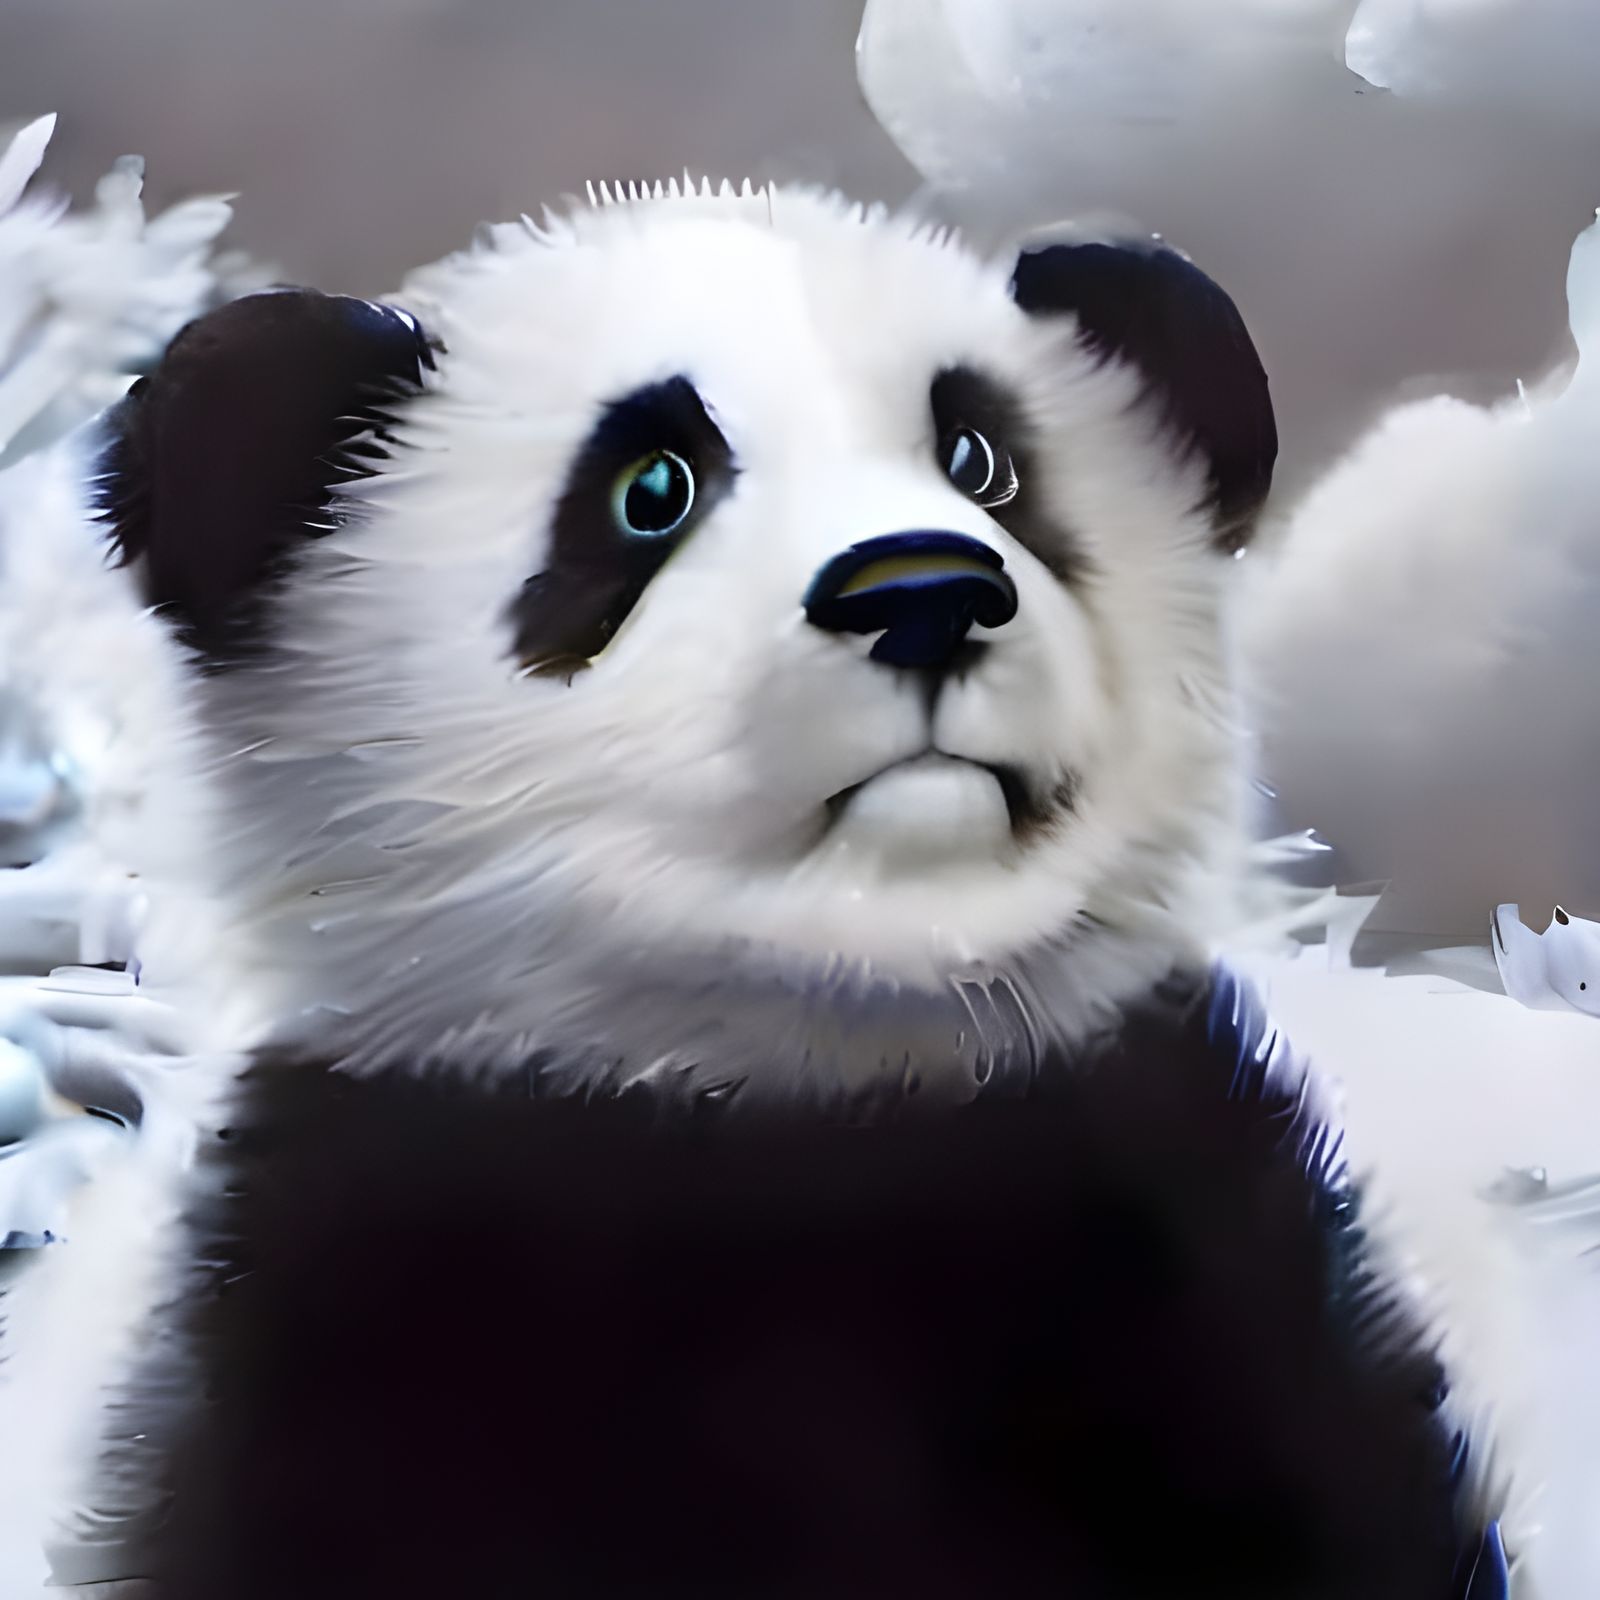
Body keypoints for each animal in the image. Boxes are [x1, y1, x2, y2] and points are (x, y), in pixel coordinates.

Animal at [8, 182, 1507, 1598]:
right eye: (650, 489)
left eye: (983, 460)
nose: (922, 592)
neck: (812, 1054)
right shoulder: (351, 1301)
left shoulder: (1197, 1241)